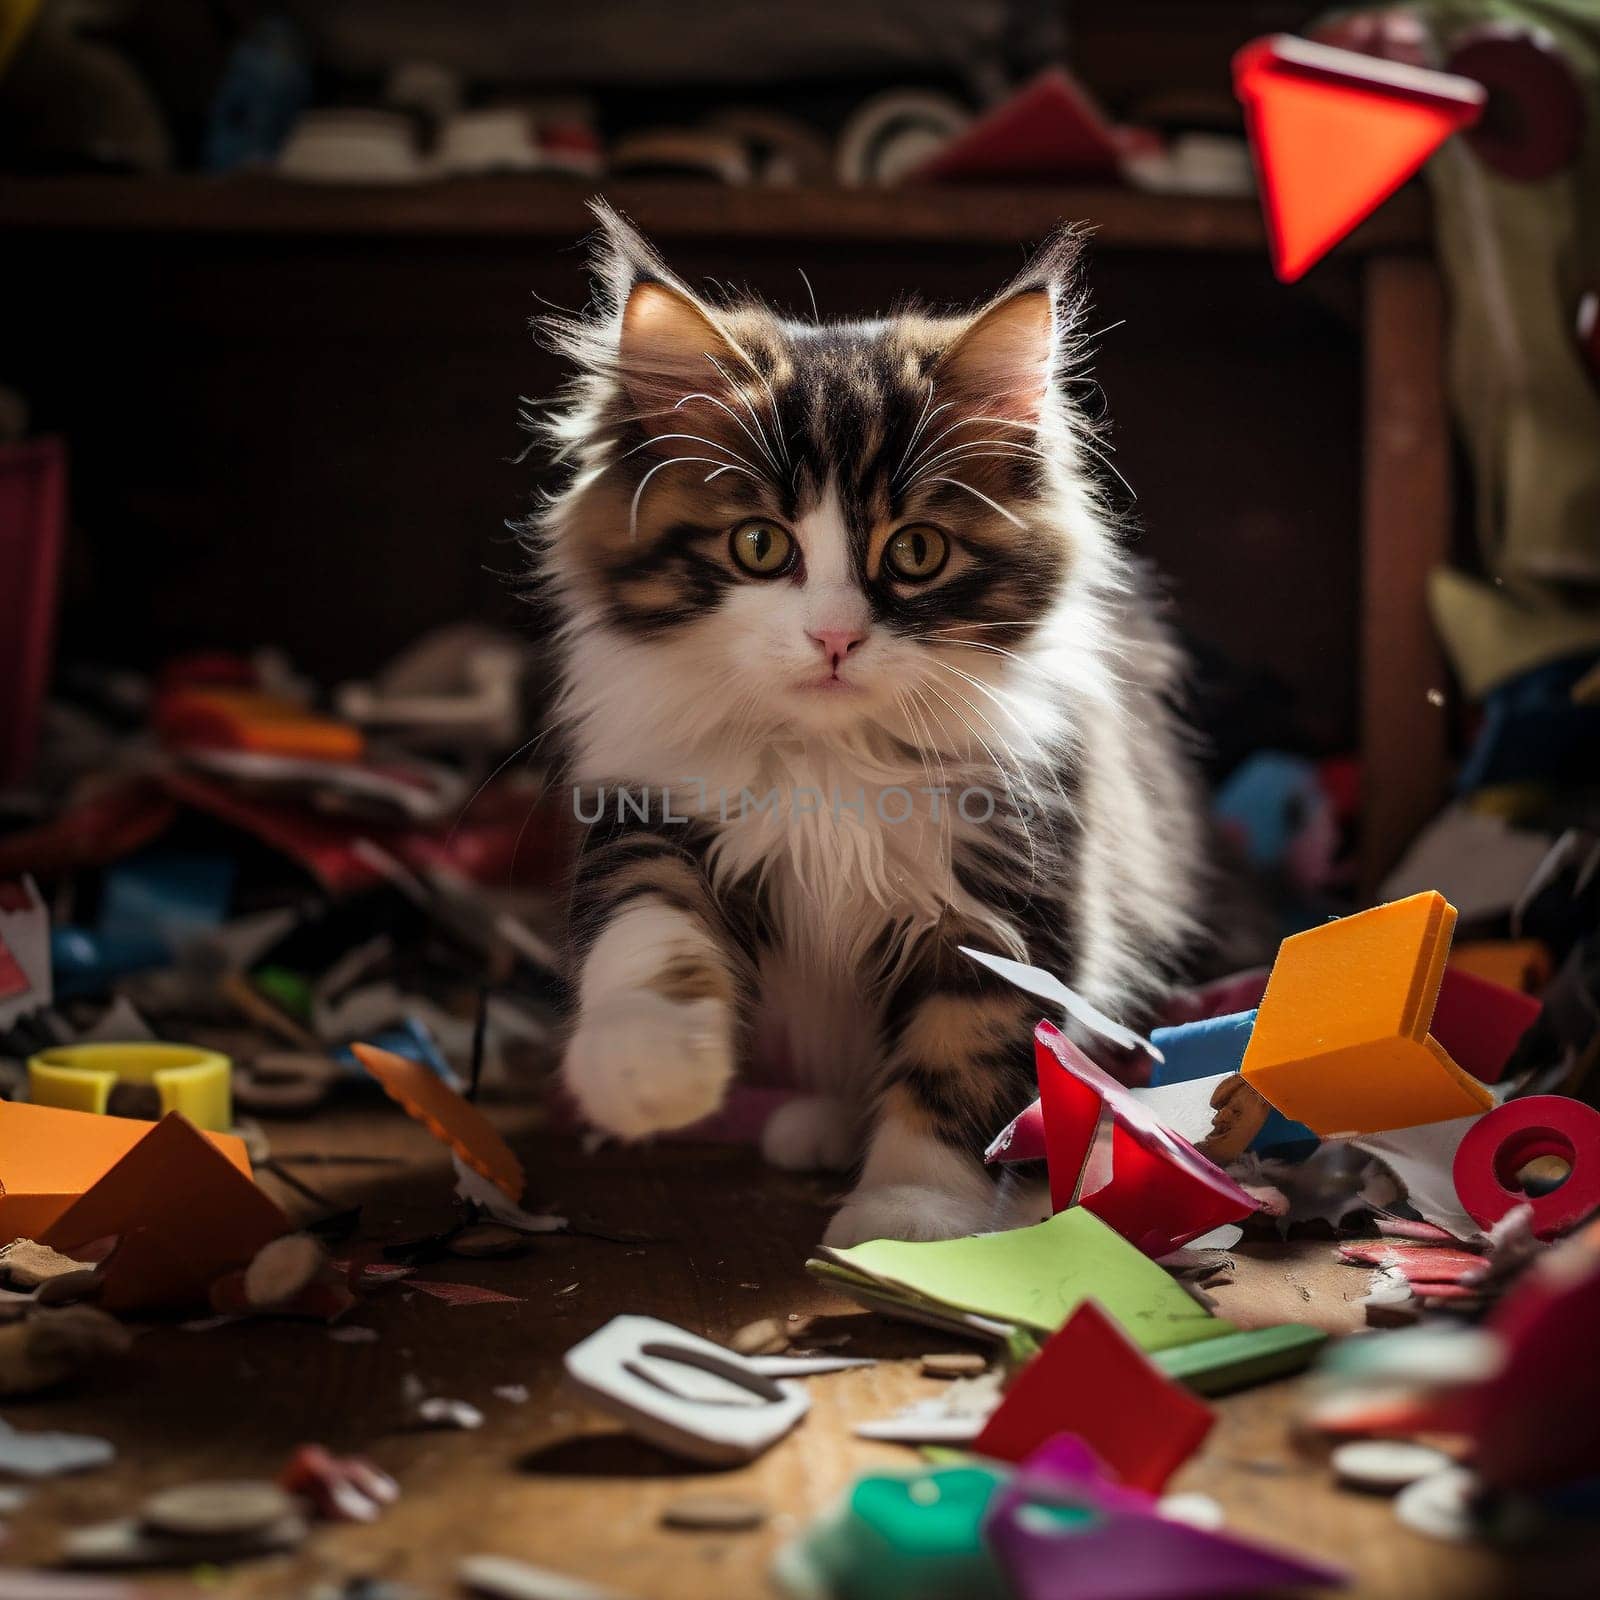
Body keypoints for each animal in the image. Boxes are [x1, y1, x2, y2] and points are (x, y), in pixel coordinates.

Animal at [524, 203, 1203, 1248]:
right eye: (759, 546)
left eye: (916, 551)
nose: (835, 636)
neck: (831, 758)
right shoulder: (652, 814)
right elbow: (647, 935)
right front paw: (649, 1072)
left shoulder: (1010, 885)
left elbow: (962, 1059)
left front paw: (908, 1215)